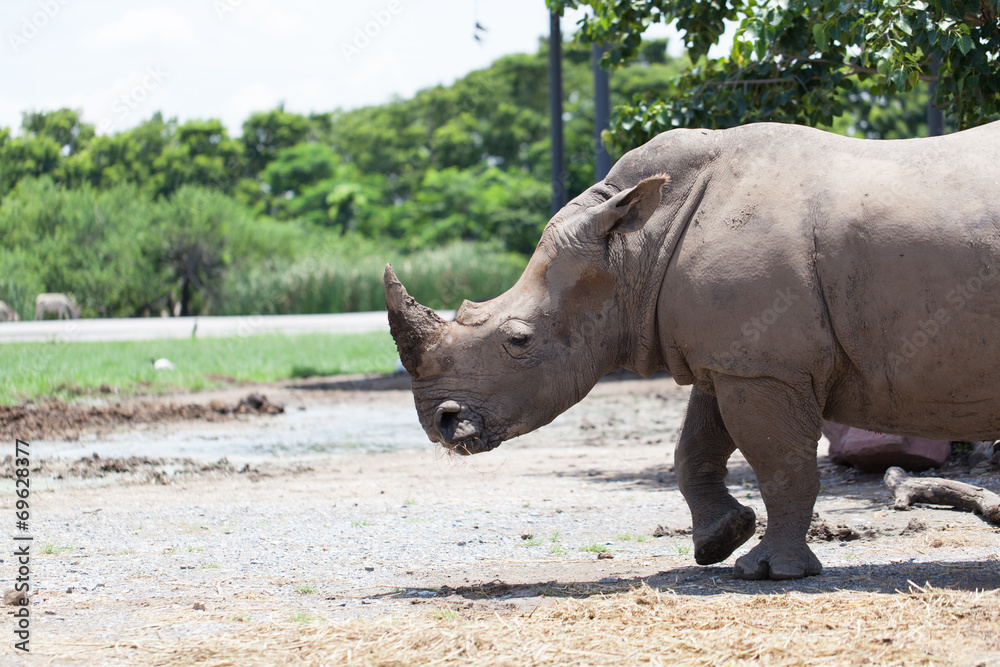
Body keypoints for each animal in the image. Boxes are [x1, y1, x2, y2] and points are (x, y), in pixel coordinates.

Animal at [384, 121, 1000, 580]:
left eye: (518, 341)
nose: (442, 423)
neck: (634, 251)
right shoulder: (734, 357)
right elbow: (695, 447)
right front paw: (718, 542)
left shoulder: (764, 367)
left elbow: (781, 463)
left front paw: (770, 572)